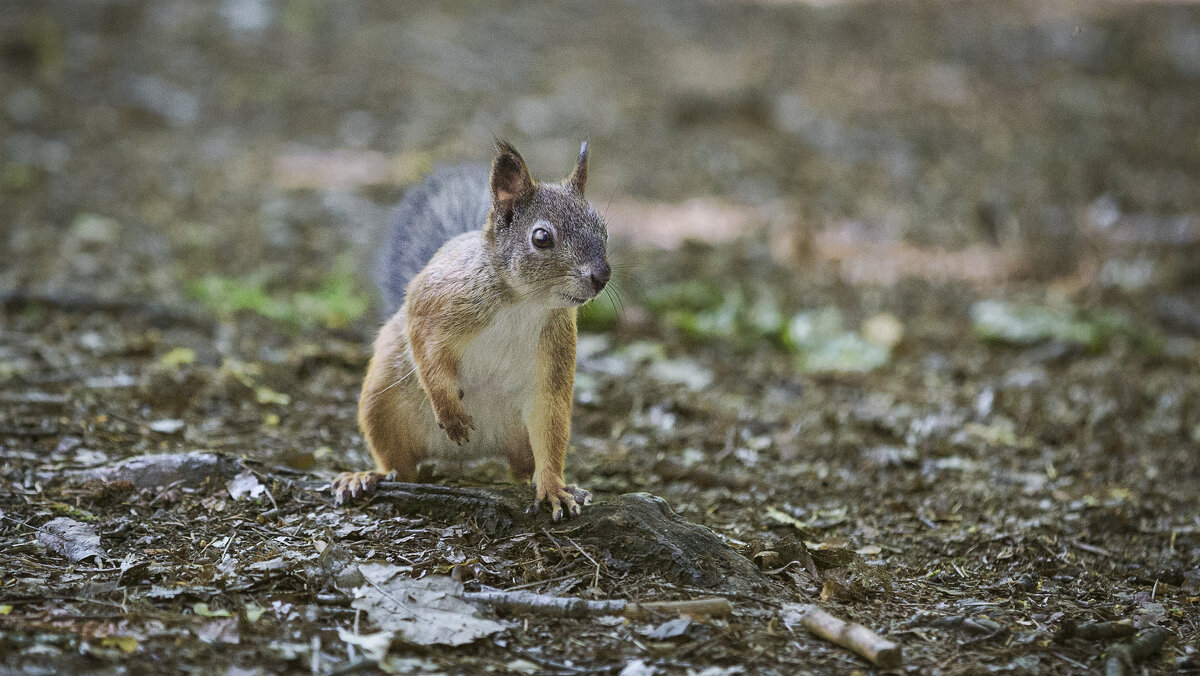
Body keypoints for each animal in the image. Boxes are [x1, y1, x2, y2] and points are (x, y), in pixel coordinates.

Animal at [331, 136, 609, 518]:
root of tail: (472, 455)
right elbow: (426, 353)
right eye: (541, 238)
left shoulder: (554, 355)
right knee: (399, 466)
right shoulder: (433, 302)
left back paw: (539, 480)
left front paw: (554, 488)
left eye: (603, 229)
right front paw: (450, 412)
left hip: (520, 435)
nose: (602, 276)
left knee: (527, 460)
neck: (523, 302)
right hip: (380, 403)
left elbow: (549, 420)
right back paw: (367, 476)